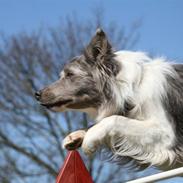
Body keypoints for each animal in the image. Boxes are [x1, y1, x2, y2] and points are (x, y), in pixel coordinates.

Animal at [35, 28, 183, 170]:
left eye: (70, 74)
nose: (36, 94)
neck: (133, 88)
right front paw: (77, 136)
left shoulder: (166, 134)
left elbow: (114, 119)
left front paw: (89, 139)